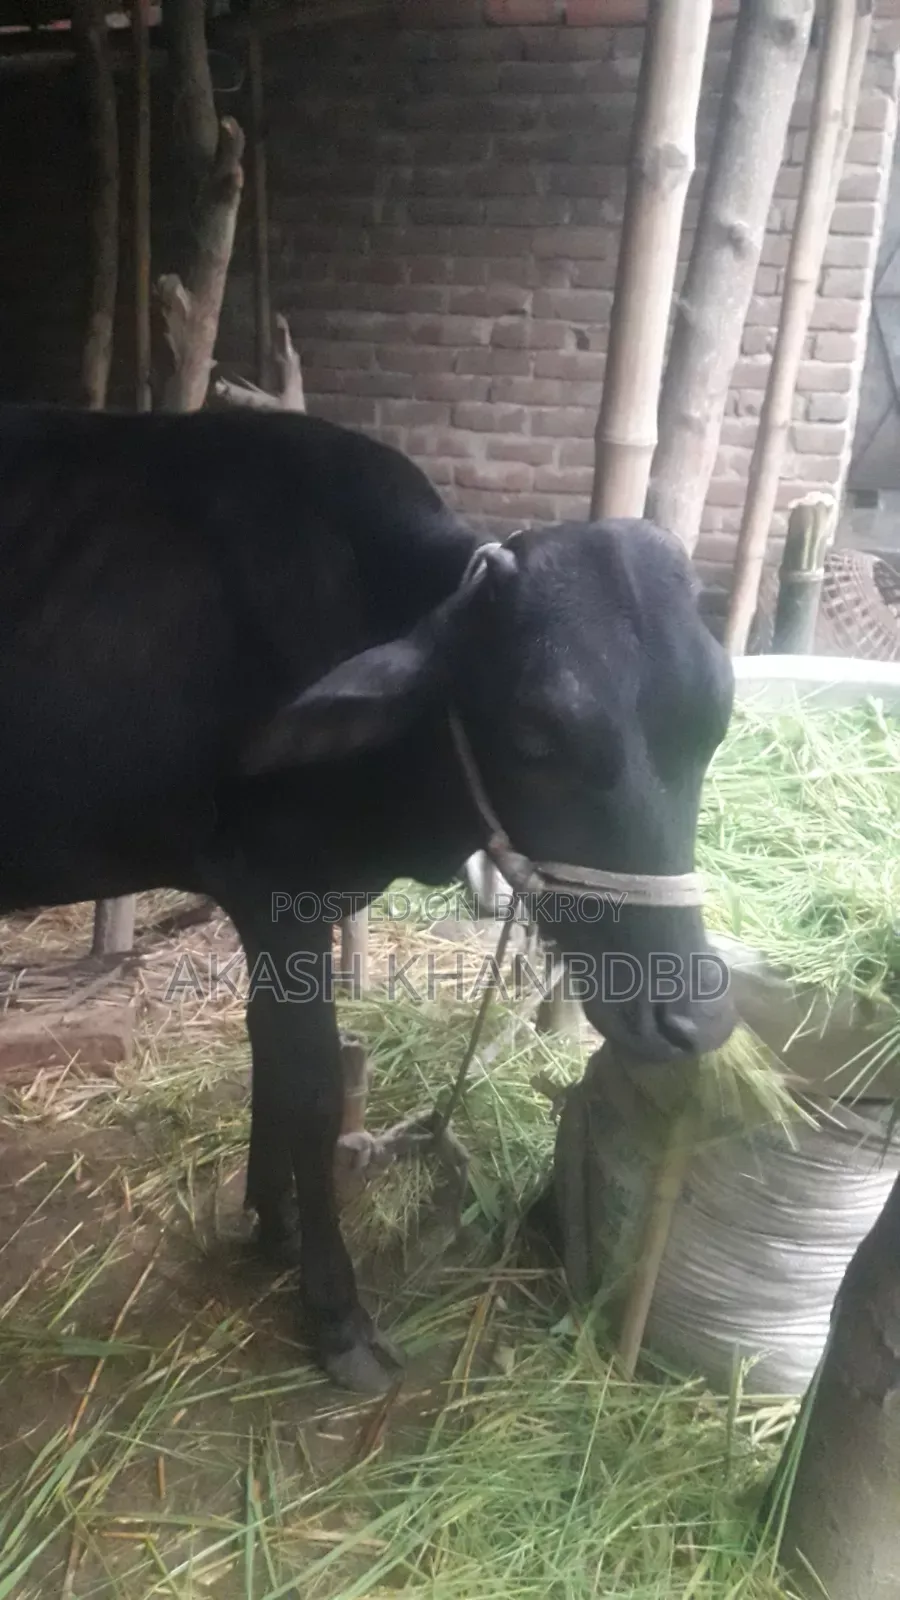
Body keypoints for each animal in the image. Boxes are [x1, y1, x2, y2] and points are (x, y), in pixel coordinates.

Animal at [0, 401, 736, 1392]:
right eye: (536, 735)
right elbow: (309, 1088)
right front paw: (336, 1314)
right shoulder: (278, 894)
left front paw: (271, 1223)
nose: (691, 1016)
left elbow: (270, 1058)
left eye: (718, 718)